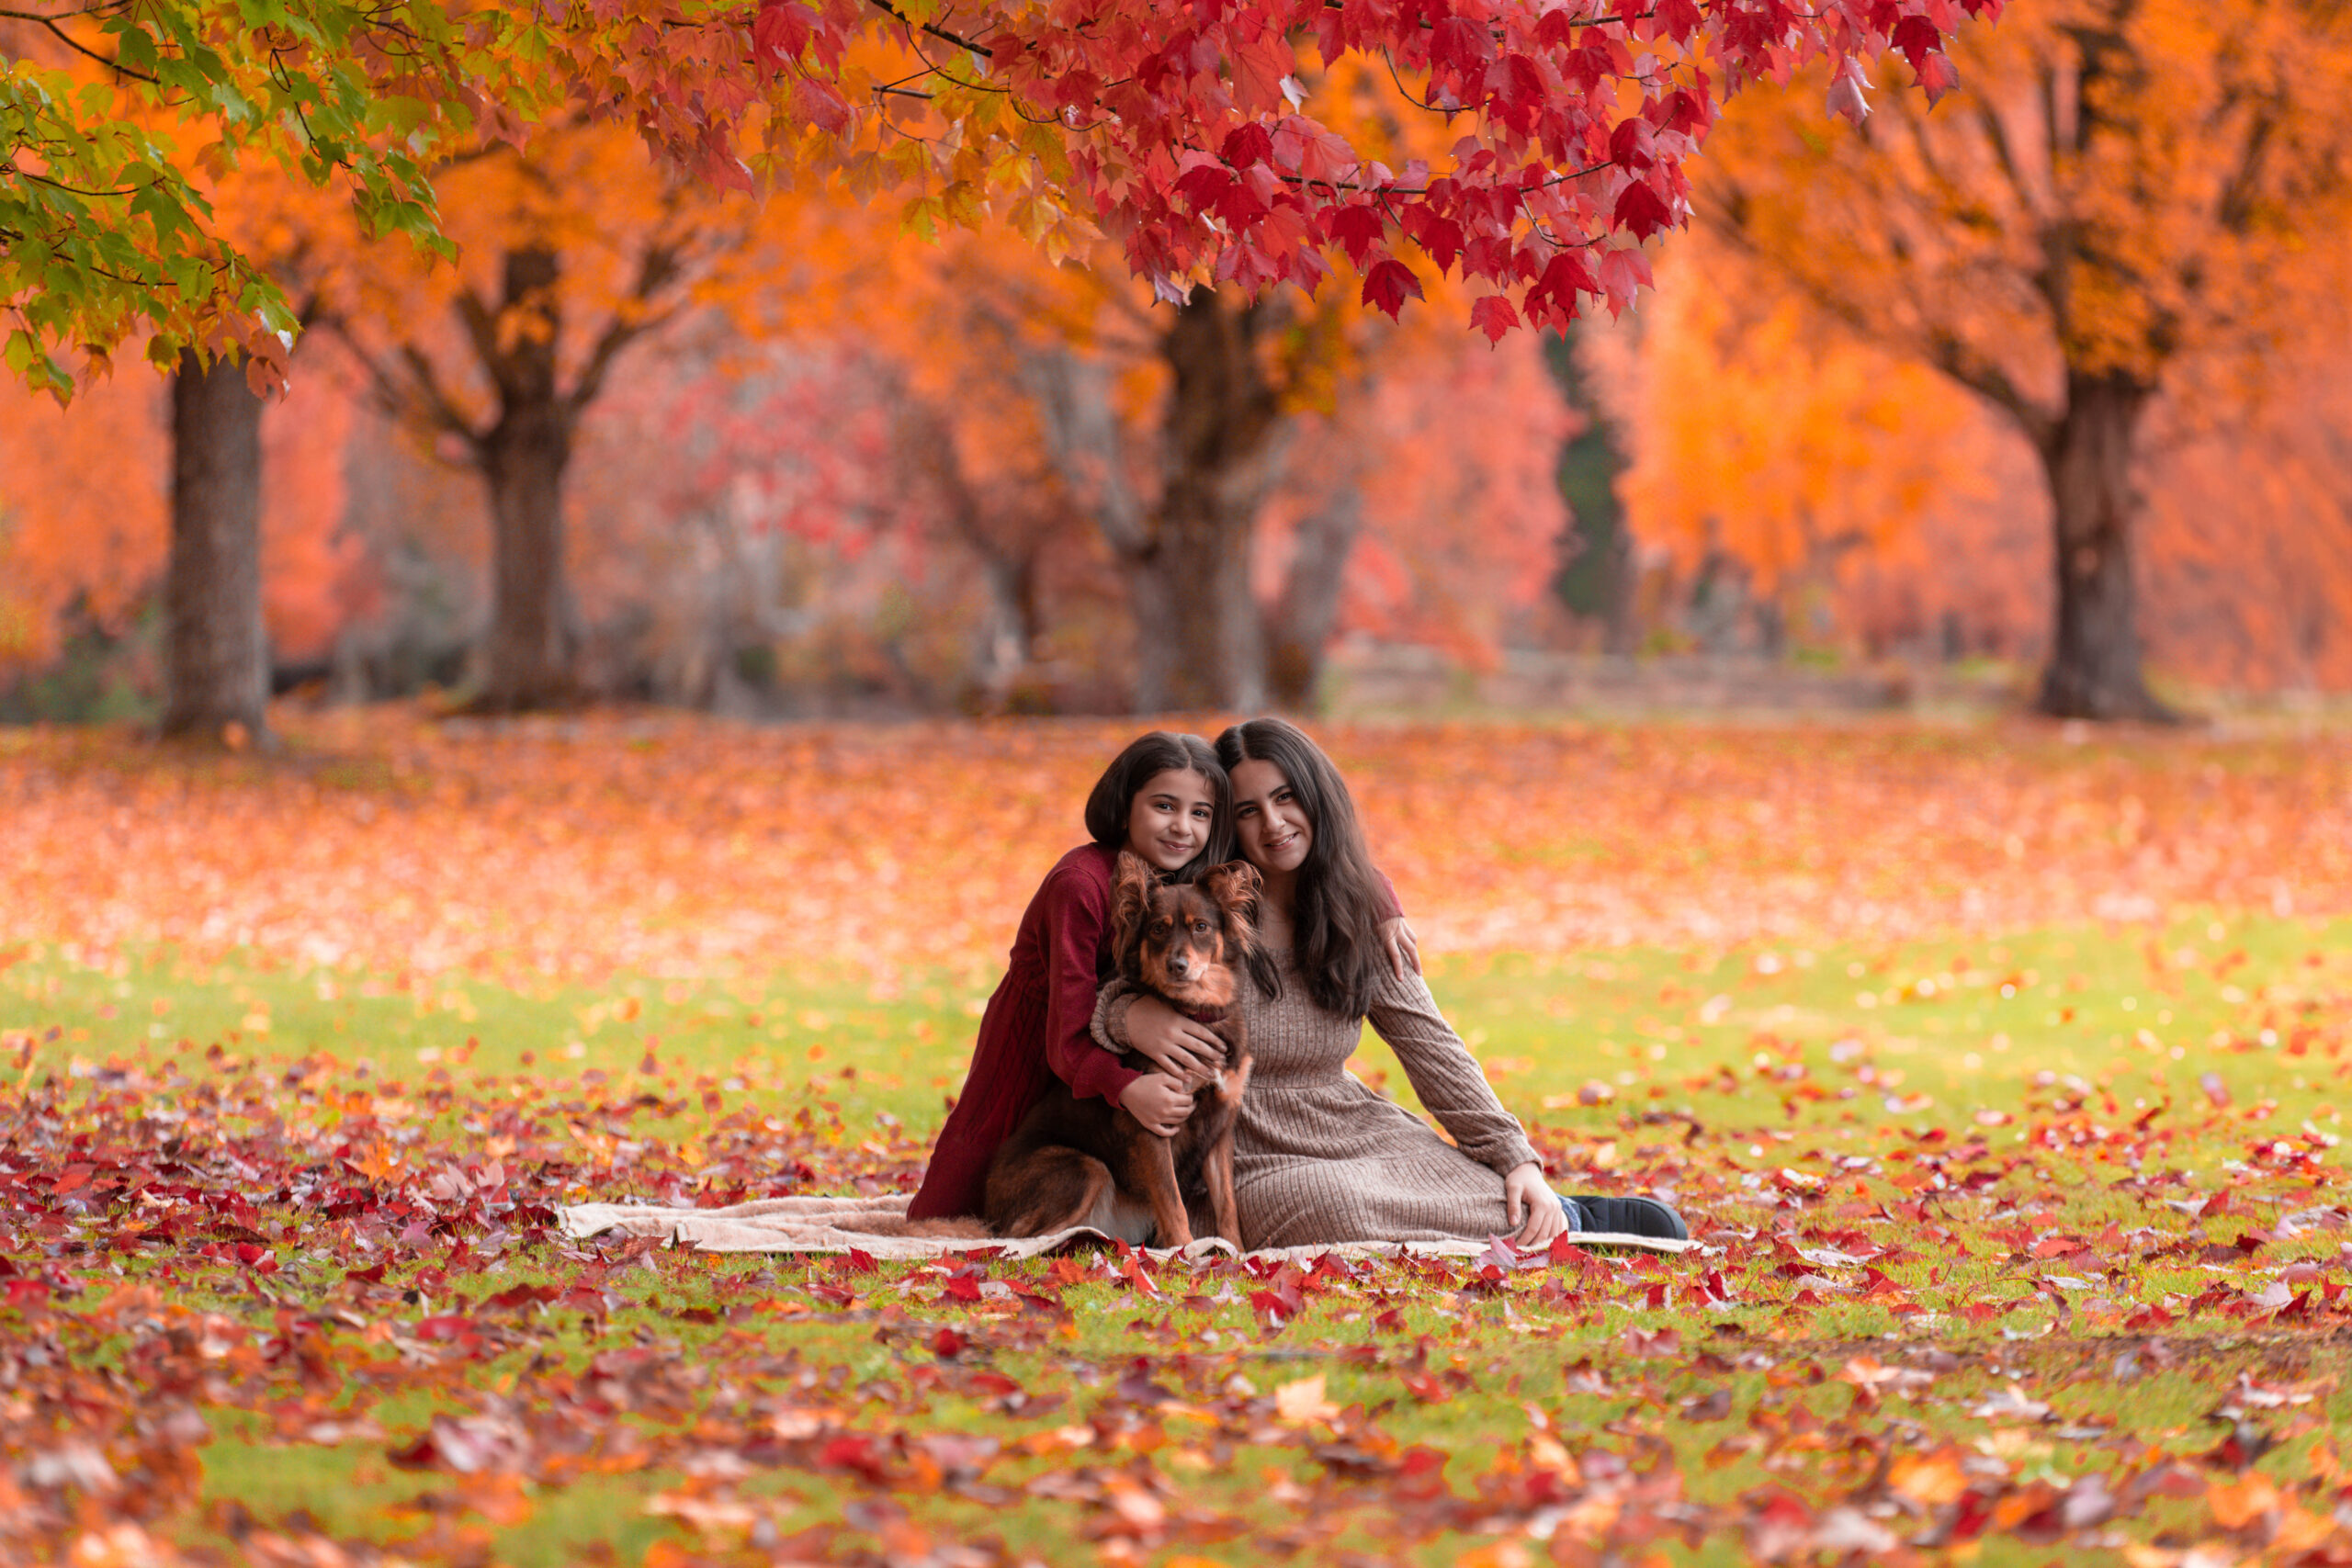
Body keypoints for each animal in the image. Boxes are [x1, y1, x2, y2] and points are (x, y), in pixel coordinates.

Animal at [978, 860, 1261, 1250]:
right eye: (1158, 928)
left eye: (1201, 927)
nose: (1177, 966)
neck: (1196, 1011)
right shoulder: (1154, 1124)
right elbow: (1173, 1203)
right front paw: (1186, 1252)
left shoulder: (1220, 1126)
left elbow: (1227, 1205)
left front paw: (1237, 1252)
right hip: (1086, 1168)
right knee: (1018, 1239)